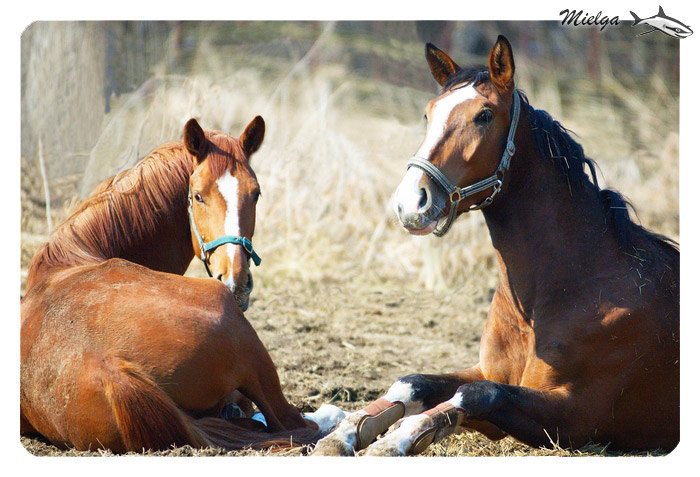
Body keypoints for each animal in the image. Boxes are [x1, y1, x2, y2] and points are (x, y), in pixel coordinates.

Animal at [21, 117, 336, 452]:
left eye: (256, 194)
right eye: (197, 195)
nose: (236, 281)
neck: (76, 254)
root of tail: (110, 368)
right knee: (296, 422)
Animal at [312, 36, 680, 454]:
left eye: (484, 116)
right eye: (428, 114)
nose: (410, 203)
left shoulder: (575, 414)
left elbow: (478, 394)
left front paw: (393, 442)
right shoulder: (488, 371)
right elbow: (414, 382)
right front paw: (341, 433)